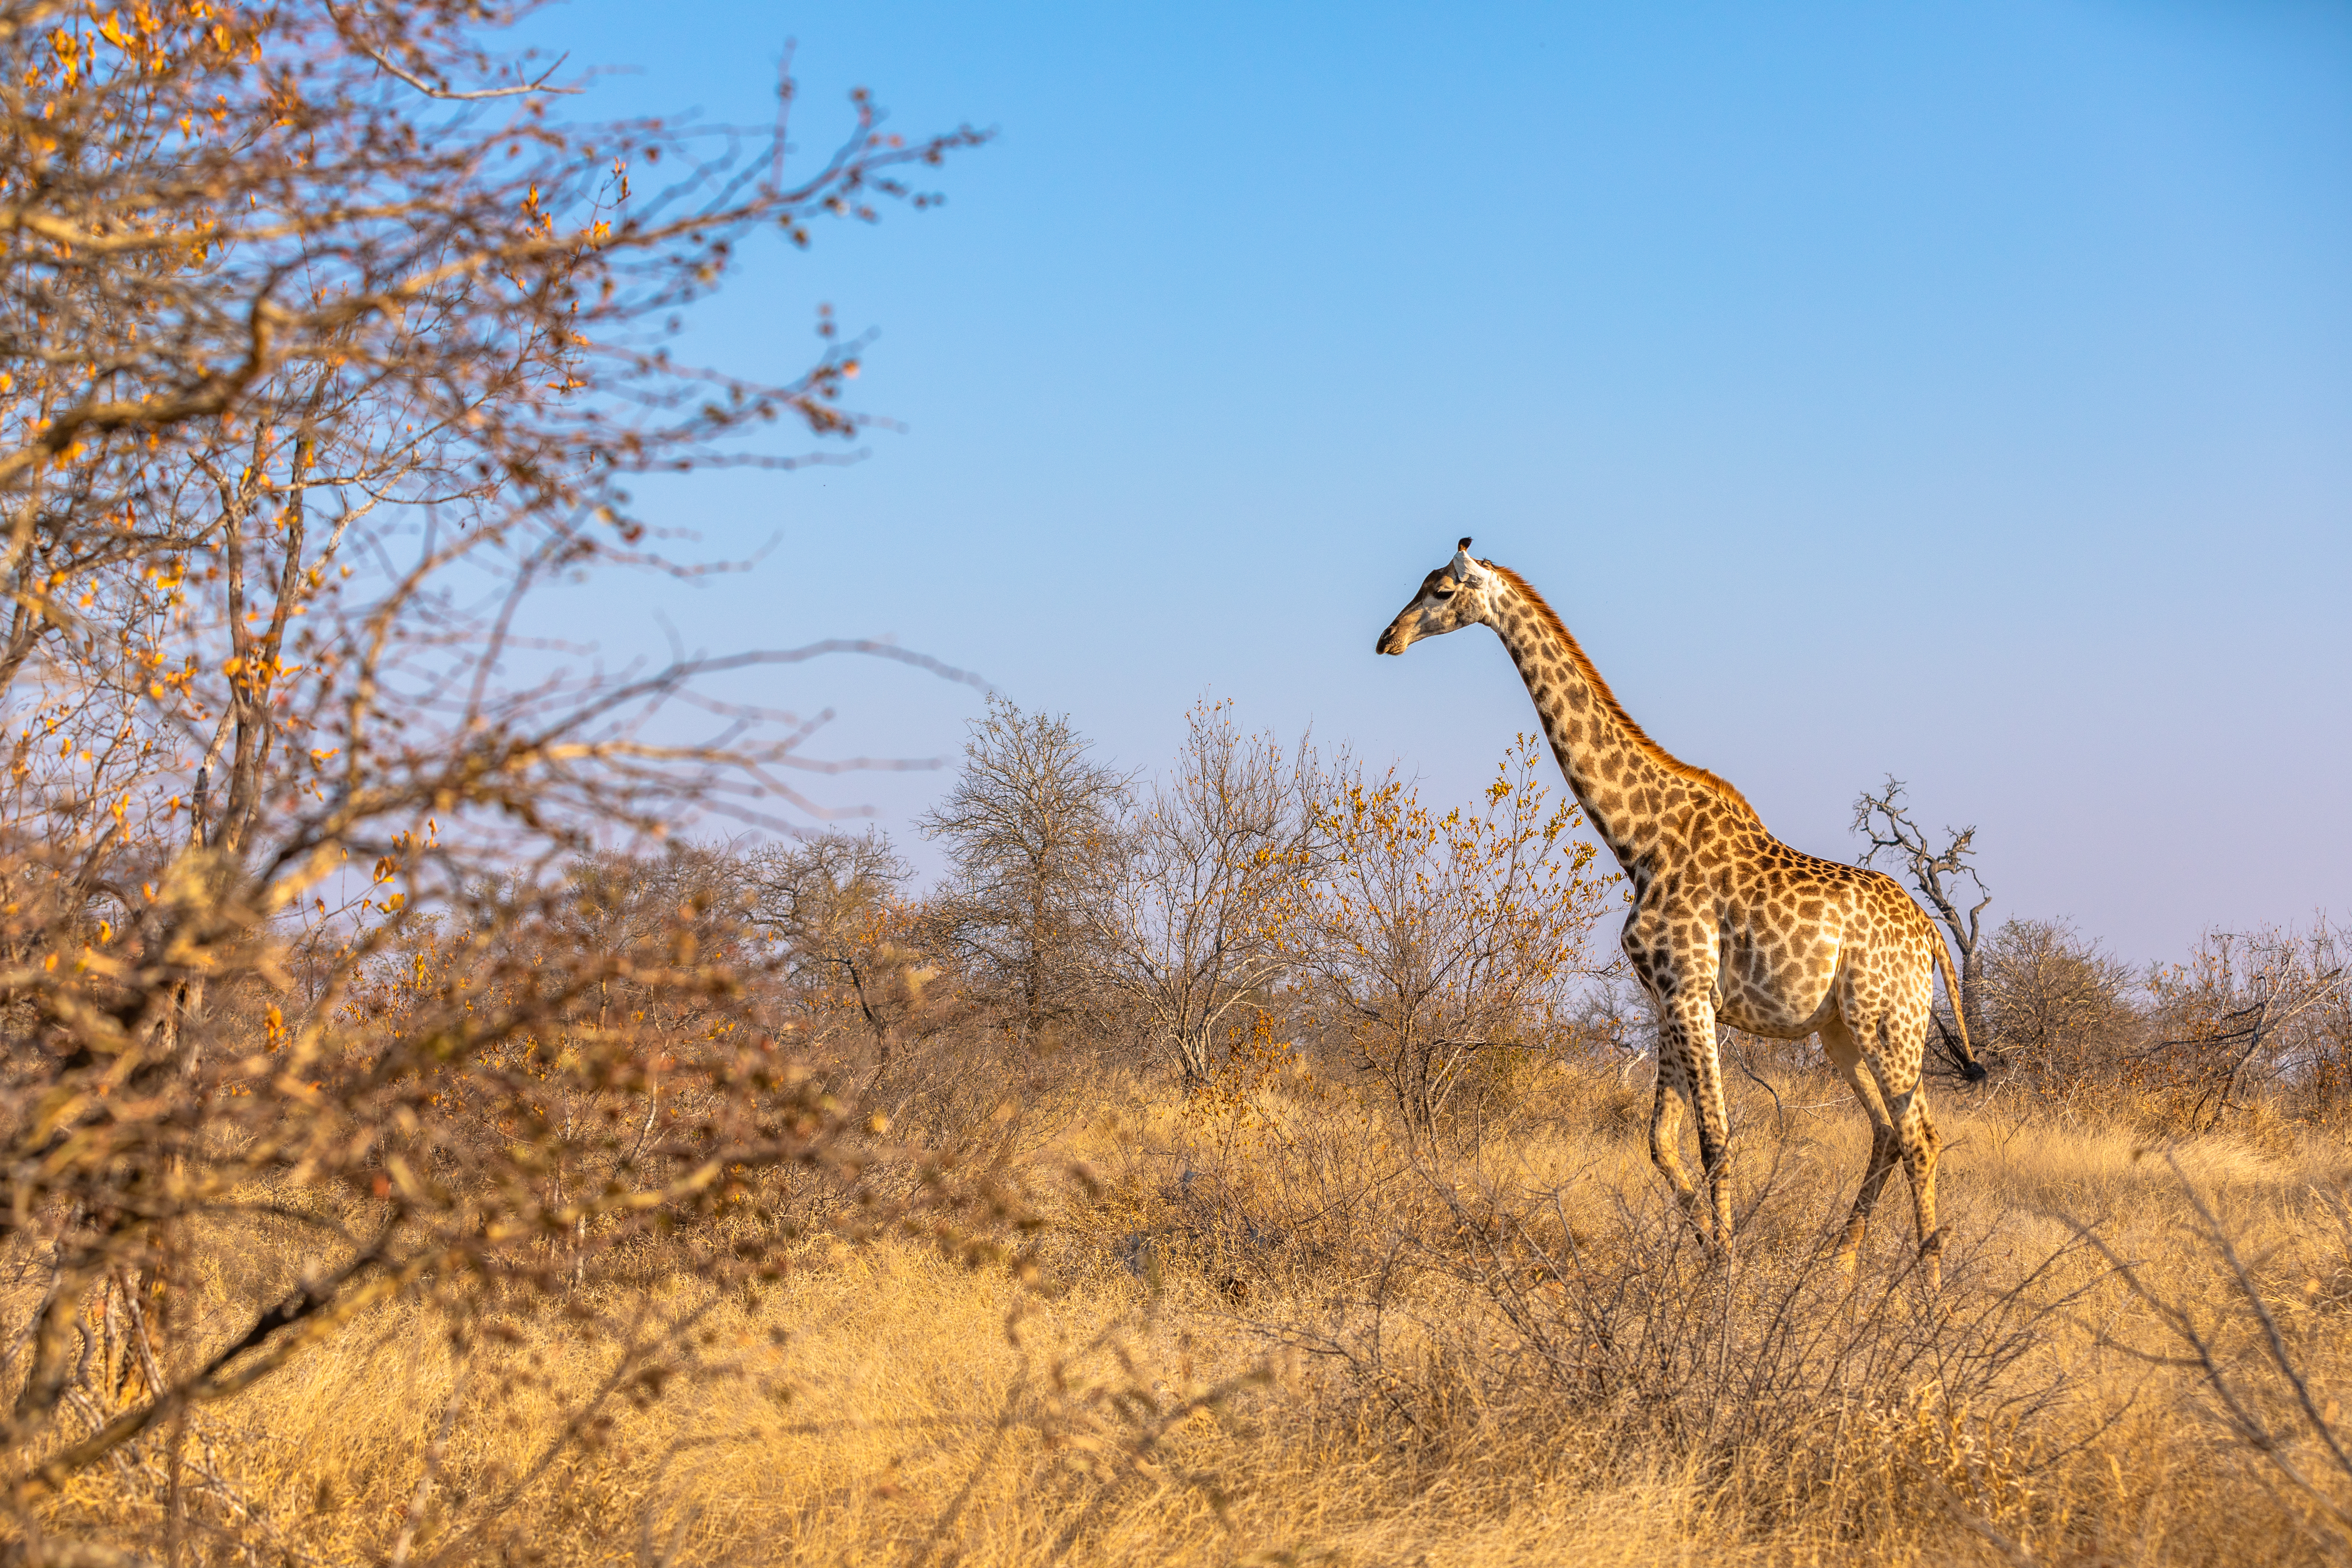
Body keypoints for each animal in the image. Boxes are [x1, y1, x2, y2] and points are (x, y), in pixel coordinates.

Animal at [1376, 539, 1987, 1284]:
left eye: (1439, 591)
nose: (1388, 639)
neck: (1638, 840)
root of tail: (1930, 933)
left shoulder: (1691, 991)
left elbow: (1715, 1139)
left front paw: (1725, 1271)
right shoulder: (1666, 995)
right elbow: (1660, 1141)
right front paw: (1709, 1249)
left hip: (1888, 1019)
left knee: (1920, 1133)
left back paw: (1927, 1289)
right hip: (1842, 1030)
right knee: (1888, 1130)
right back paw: (1840, 1266)